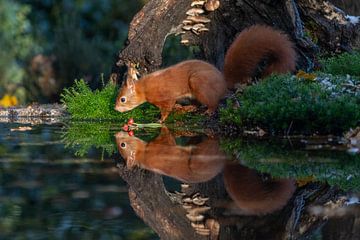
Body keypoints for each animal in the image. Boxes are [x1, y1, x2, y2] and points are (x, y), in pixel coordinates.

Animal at [114, 24, 296, 122]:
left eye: (123, 99)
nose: (115, 108)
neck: (144, 88)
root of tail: (223, 81)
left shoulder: (165, 96)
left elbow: (166, 109)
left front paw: (160, 119)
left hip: (198, 83)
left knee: (213, 103)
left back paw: (207, 111)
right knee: (199, 103)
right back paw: (188, 107)